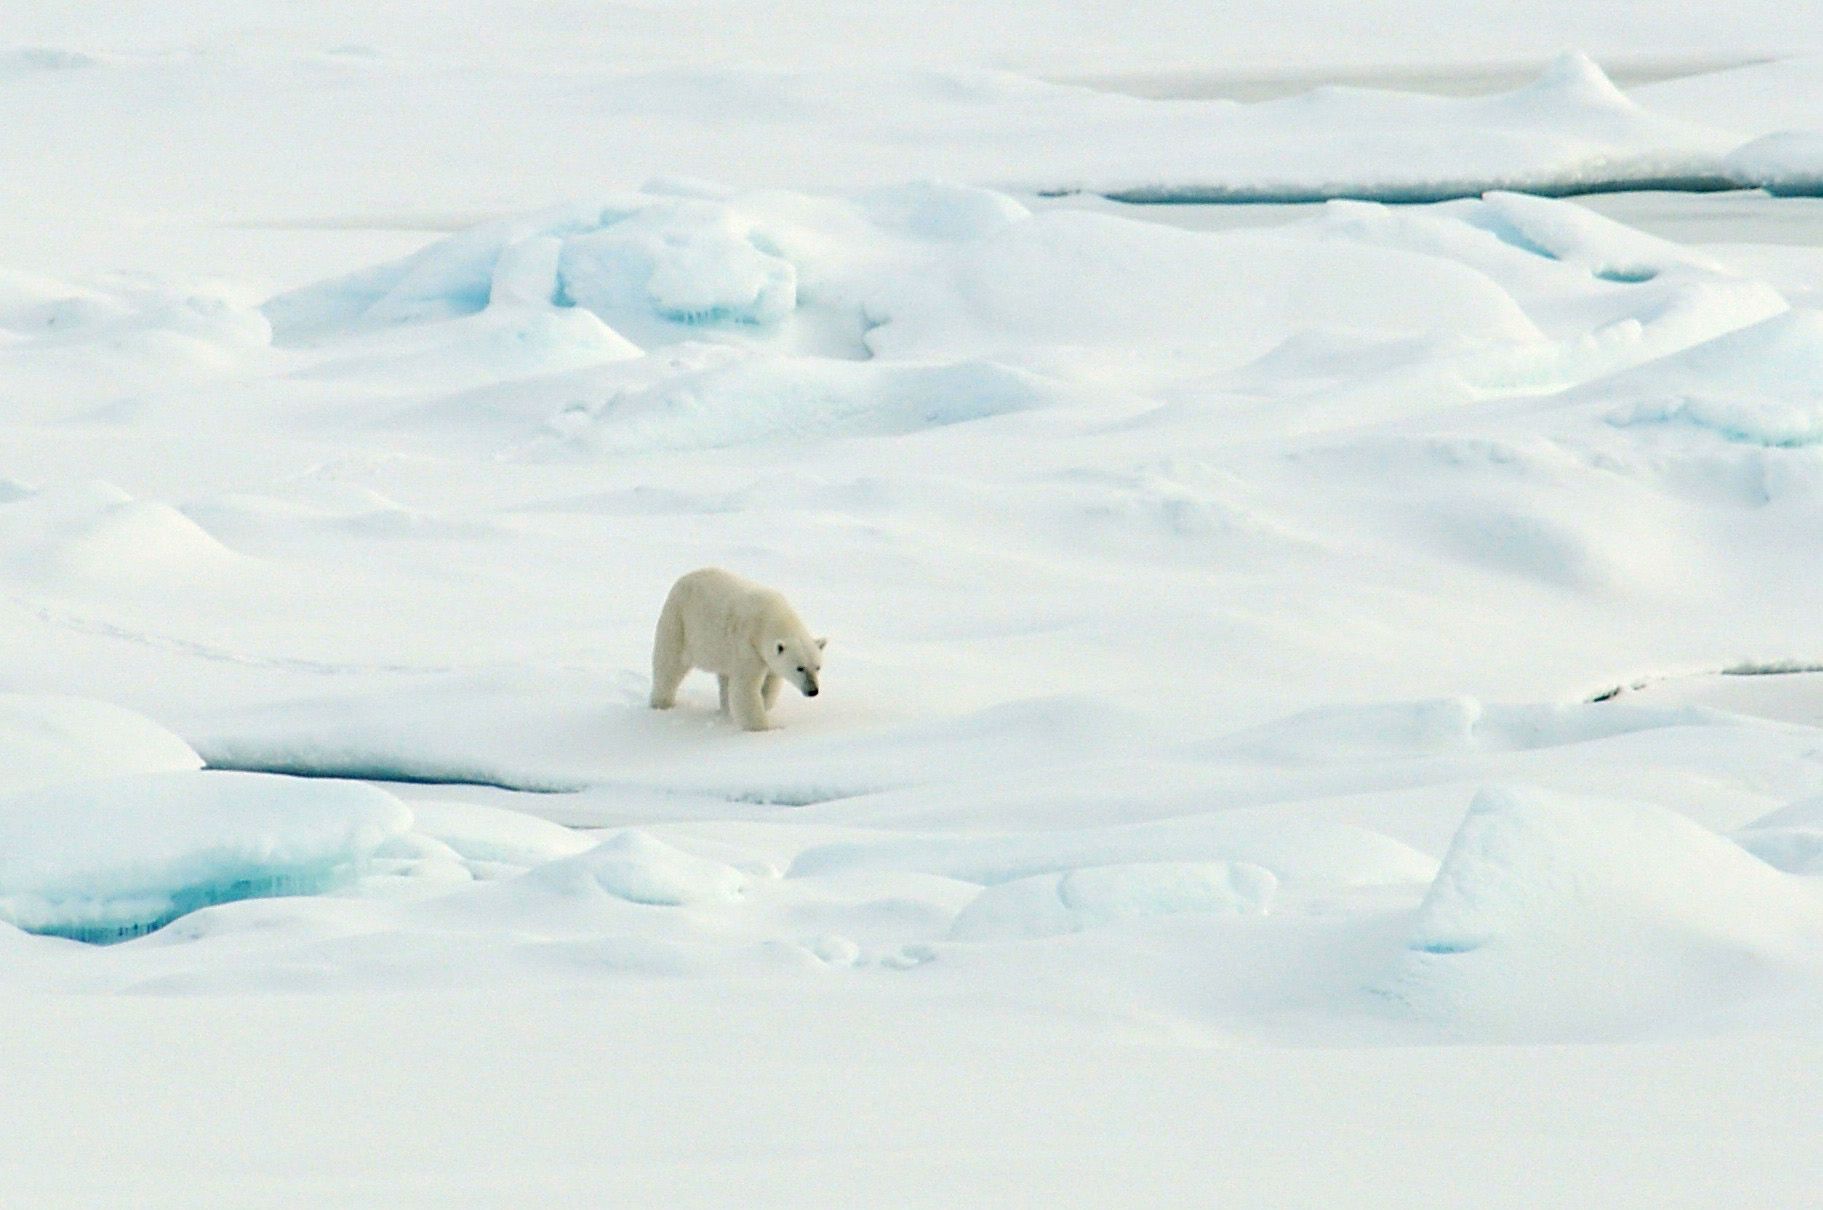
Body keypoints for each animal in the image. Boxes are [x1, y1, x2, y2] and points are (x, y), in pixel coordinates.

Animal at [648, 564, 827, 728]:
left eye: (817, 667)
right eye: (800, 668)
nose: (813, 691)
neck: (770, 618)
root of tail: (684, 578)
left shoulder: (767, 658)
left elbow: (771, 683)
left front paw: (764, 704)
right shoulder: (747, 646)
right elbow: (745, 688)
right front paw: (761, 728)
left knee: (724, 678)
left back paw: (725, 710)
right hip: (679, 622)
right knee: (669, 666)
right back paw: (662, 703)